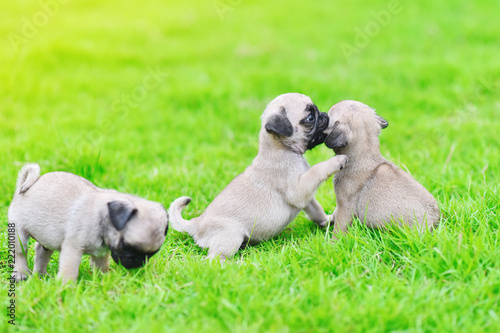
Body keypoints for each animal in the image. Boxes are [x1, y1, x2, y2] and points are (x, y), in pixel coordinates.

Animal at [8, 162, 169, 282]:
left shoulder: (101, 253)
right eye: (126, 246)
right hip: (18, 233)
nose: (138, 262)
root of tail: (24, 187)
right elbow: (70, 270)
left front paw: (103, 280)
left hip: (47, 236)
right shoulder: (72, 249)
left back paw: (41, 274)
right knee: (20, 253)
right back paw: (21, 274)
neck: (102, 217)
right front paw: (65, 287)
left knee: (42, 251)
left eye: (152, 254)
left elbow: (102, 266)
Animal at [170, 92, 350, 260]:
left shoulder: (306, 198)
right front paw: (337, 161)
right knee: (214, 259)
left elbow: (316, 210)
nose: (325, 115)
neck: (281, 148)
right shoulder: (299, 189)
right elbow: (317, 170)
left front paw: (327, 221)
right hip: (230, 236)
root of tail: (197, 223)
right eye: (310, 117)